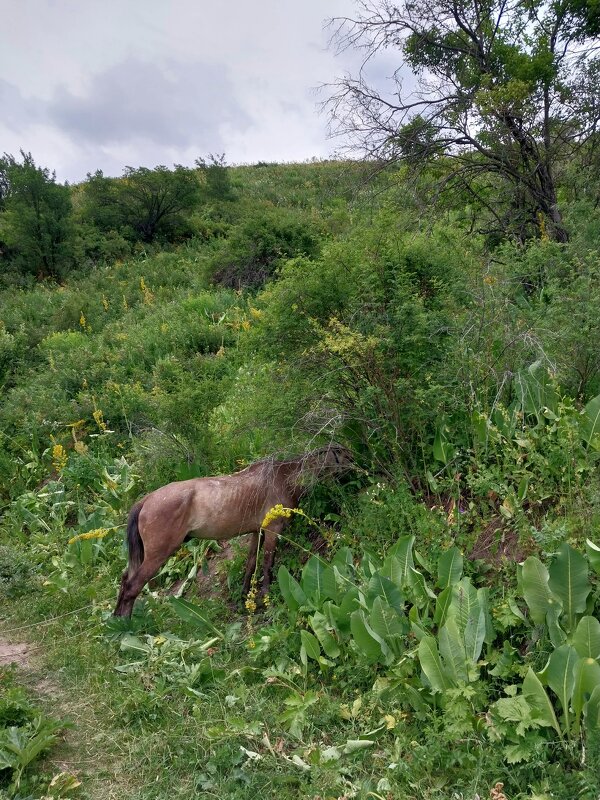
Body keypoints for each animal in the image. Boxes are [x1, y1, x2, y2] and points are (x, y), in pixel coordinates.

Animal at [113, 444, 352, 620]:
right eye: (345, 455)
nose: (358, 467)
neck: (285, 476)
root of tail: (146, 500)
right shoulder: (273, 531)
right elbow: (267, 563)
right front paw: (266, 596)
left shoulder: (257, 532)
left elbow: (250, 564)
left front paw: (244, 597)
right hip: (158, 554)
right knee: (132, 586)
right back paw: (125, 624)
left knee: (126, 579)